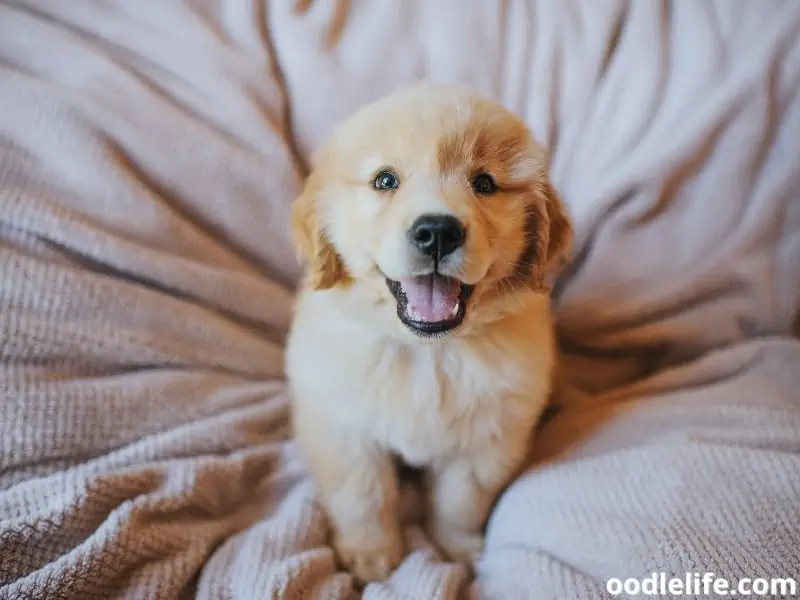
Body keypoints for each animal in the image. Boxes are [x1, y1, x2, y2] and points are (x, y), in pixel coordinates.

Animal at [284, 82, 572, 584]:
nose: (437, 231)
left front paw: (455, 551)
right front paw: (369, 556)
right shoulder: (343, 429)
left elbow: (458, 504)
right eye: (385, 180)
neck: (426, 352)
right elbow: (362, 496)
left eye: (484, 184)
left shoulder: (485, 441)